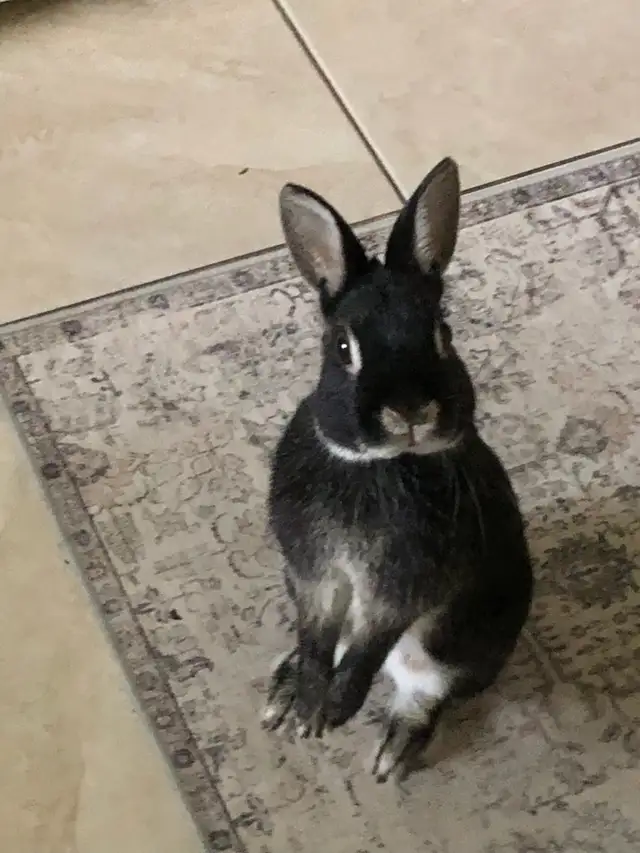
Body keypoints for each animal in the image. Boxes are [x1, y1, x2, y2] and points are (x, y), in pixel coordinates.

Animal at [262, 157, 534, 782]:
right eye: (342, 347)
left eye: (442, 334)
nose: (410, 409)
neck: (380, 466)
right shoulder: (315, 576)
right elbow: (318, 636)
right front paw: (306, 706)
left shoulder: (403, 589)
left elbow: (368, 645)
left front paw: (332, 710)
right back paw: (284, 689)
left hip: (455, 645)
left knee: (425, 691)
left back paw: (393, 753)